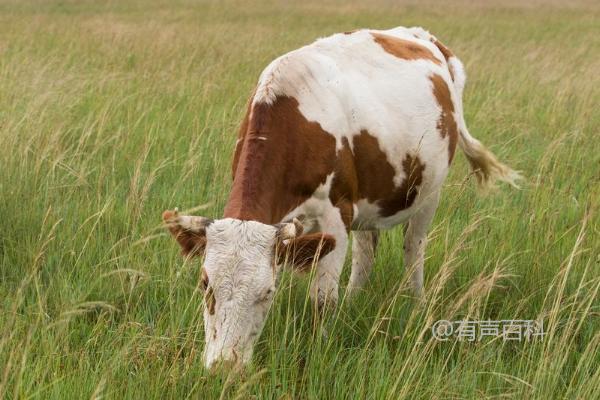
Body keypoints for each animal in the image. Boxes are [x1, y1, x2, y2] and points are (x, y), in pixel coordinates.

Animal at [162, 26, 516, 370]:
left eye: (267, 292)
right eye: (205, 284)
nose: (224, 366)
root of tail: (423, 36)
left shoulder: (336, 215)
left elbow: (322, 300)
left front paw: (320, 349)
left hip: (429, 193)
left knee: (414, 249)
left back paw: (417, 303)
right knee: (366, 251)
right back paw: (354, 300)